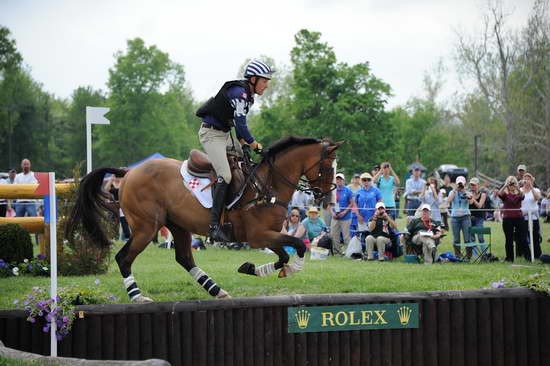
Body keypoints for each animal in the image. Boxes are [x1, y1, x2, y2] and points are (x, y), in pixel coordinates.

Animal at [67, 136, 342, 302]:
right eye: (328, 167)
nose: (327, 199)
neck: (268, 185)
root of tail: (129, 171)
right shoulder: (259, 236)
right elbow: (295, 247)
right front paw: (290, 269)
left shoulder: (269, 236)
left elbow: (285, 253)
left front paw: (253, 268)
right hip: (146, 228)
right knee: (124, 258)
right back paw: (138, 296)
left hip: (178, 225)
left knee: (184, 258)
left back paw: (217, 290)